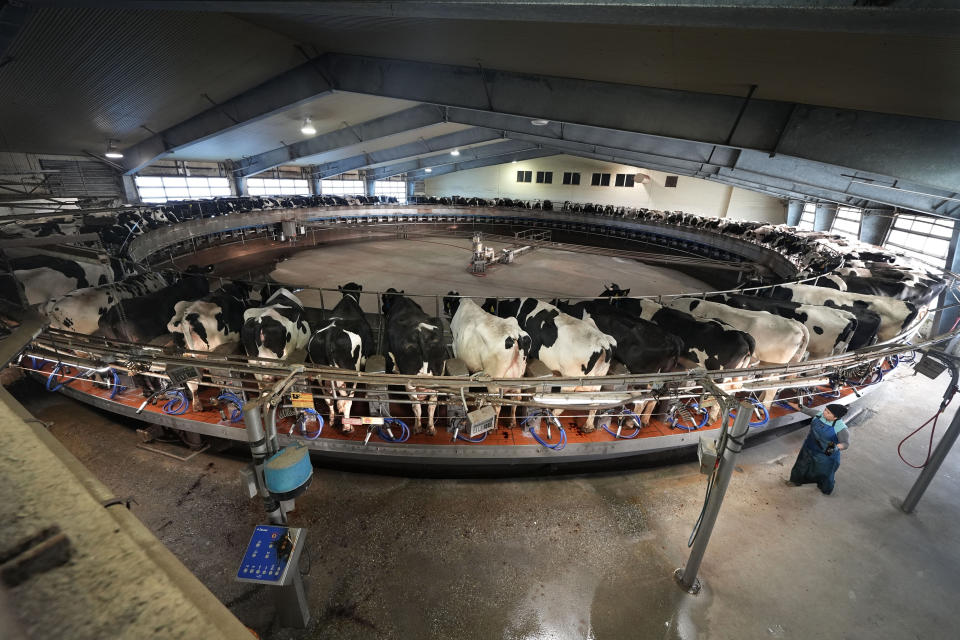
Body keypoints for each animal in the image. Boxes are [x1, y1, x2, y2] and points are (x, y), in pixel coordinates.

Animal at [308, 284, 376, 430]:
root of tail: (329, 336)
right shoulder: (364, 358)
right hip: (351, 371)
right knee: (347, 399)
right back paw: (347, 426)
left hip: (320, 374)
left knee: (328, 398)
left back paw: (332, 420)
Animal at [444, 294, 532, 424]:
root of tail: (514, 335)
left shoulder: (455, 347)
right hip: (518, 377)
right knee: (516, 399)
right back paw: (512, 422)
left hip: (493, 381)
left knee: (497, 404)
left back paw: (494, 425)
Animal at [488, 298, 616, 432]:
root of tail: (602, 342)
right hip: (598, 380)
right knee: (595, 402)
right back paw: (588, 426)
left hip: (571, 380)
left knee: (565, 403)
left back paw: (550, 417)